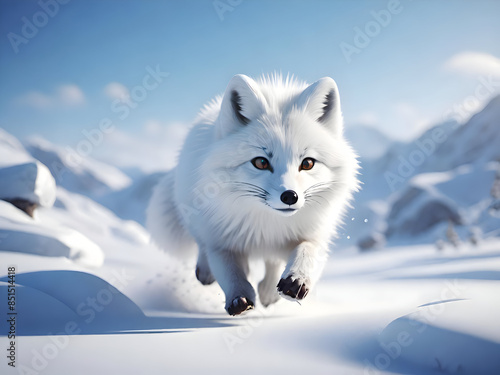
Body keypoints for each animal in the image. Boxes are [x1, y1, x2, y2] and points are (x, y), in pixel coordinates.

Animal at [146, 75, 358, 316]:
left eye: (308, 163)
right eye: (261, 162)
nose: (290, 196)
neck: (267, 228)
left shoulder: (314, 235)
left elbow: (307, 252)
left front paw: (296, 280)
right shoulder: (221, 241)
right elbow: (230, 272)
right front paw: (239, 297)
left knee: (272, 263)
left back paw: (268, 291)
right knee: (202, 244)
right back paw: (207, 272)